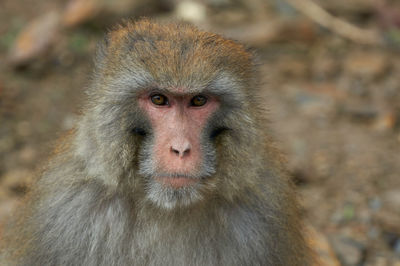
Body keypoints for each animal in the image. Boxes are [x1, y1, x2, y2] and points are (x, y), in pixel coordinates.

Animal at [0, 19, 312, 266]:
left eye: (198, 100)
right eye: (159, 99)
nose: (181, 149)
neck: (164, 207)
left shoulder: (266, 215)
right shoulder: (63, 212)